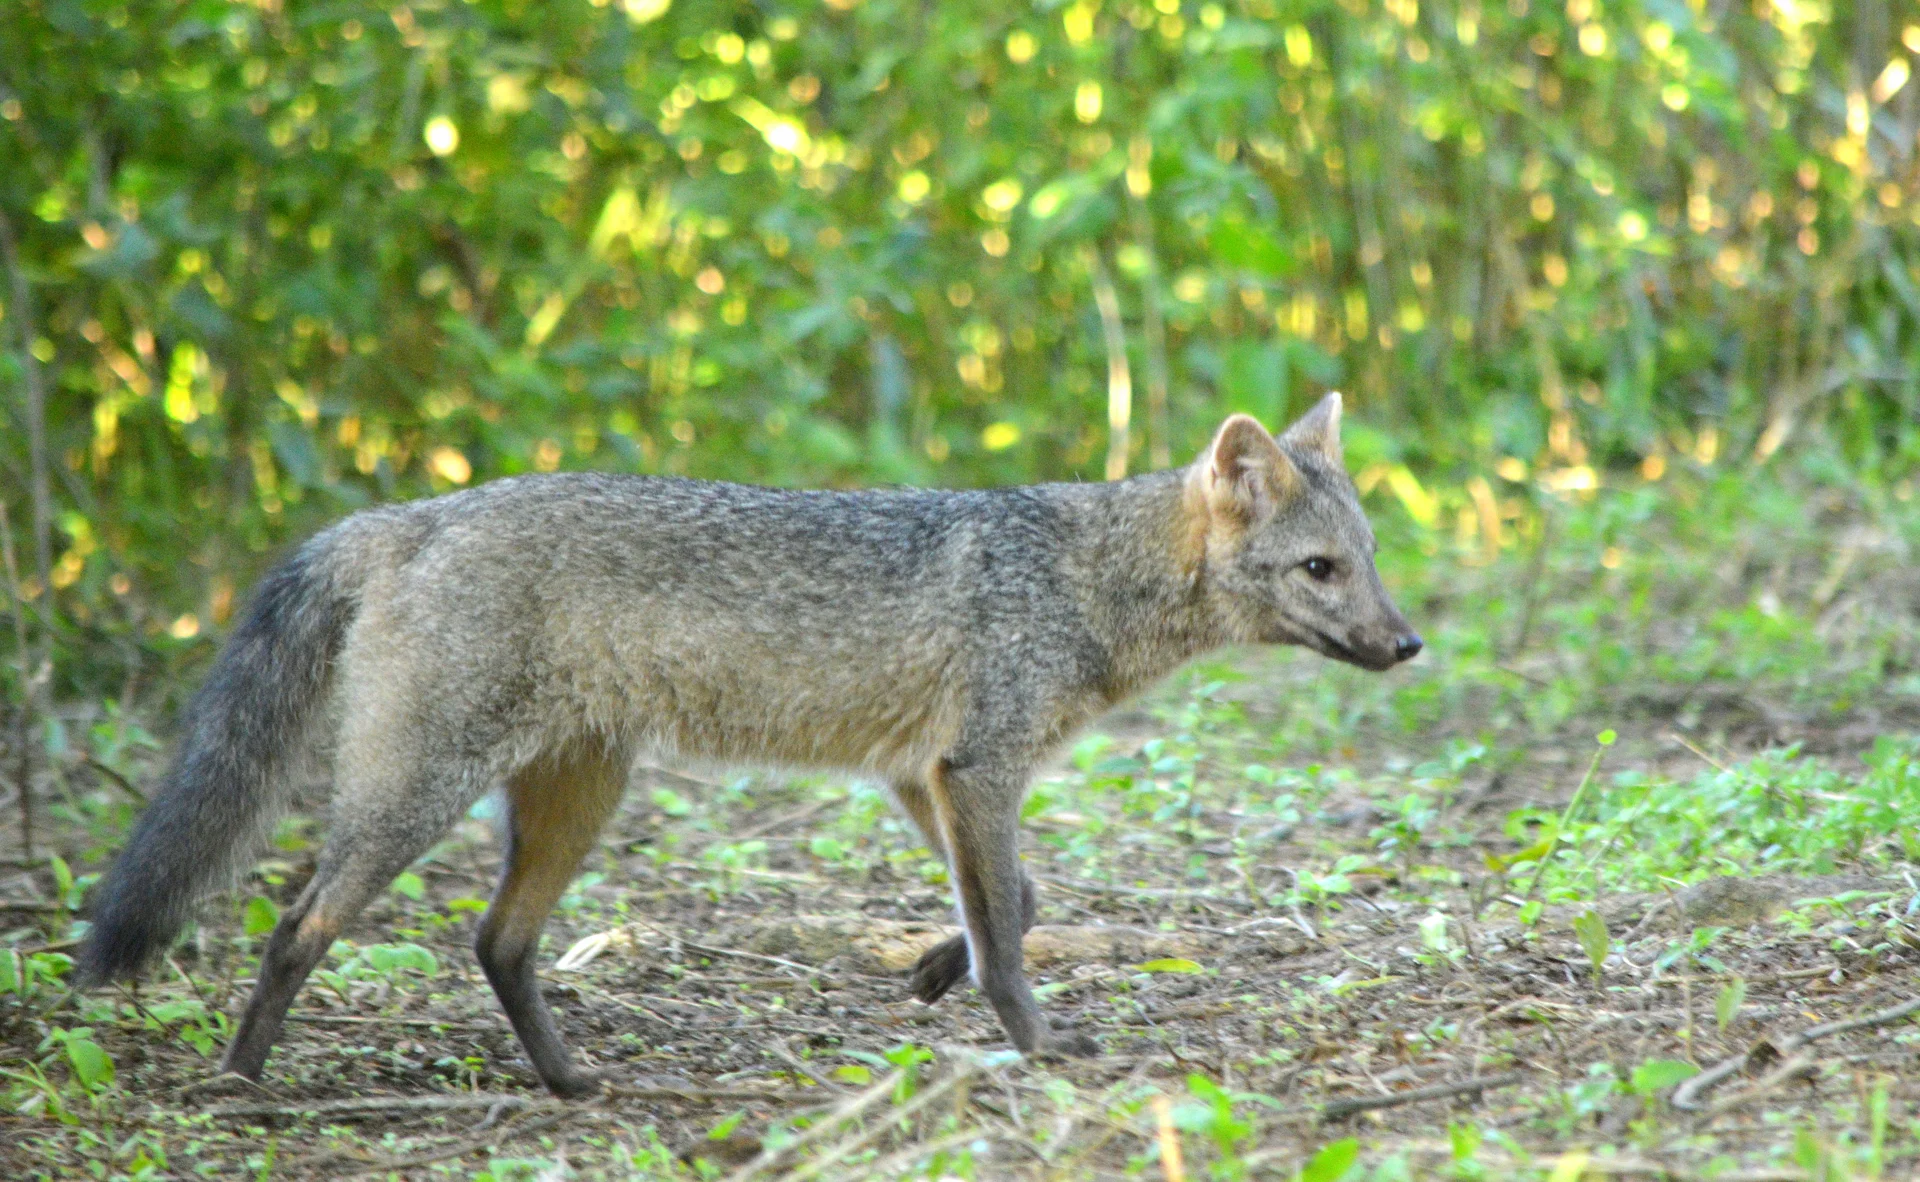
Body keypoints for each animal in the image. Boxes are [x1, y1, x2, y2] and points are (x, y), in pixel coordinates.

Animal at [76, 393, 1420, 1096]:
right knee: (296, 925)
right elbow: (1010, 930)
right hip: (420, 798)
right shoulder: (979, 766)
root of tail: (409, 514)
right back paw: (243, 1084)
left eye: (1367, 560)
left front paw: (929, 974)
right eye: (1321, 570)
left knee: (497, 942)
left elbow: (1018, 901)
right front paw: (1031, 1040)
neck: (1080, 576)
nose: (1406, 645)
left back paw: (568, 1080)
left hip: (576, 797)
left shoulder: (924, 770)